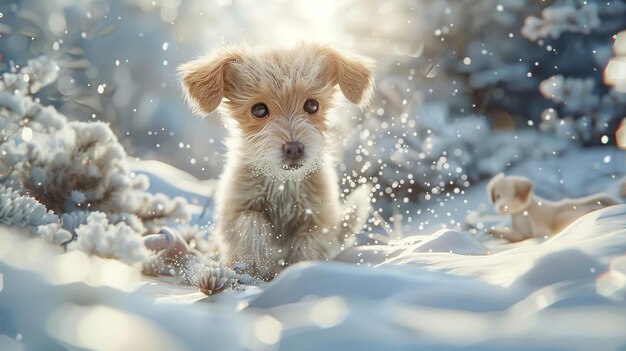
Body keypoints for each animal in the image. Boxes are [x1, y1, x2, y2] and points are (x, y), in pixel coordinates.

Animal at [178, 42, 372, 280]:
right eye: (259, 109)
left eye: (312, 105)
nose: (294, 148)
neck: (282, 184)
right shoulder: (234, 212)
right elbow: (253, 224)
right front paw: (257, 265)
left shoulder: (319, 219)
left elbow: (309, 244)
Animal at [486, 173, 616, 242]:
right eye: (497, 196)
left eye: (514, 195)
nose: (502, 207)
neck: (522, 214)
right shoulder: (519, 232)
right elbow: (513, 235)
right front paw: (492, 231)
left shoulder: (540, 225)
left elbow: (539, 233)